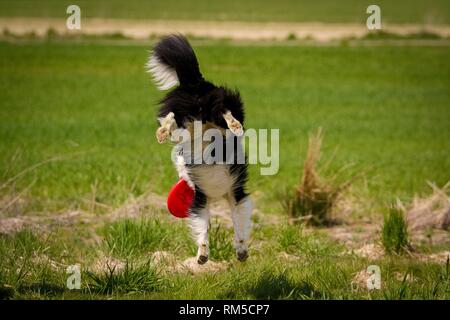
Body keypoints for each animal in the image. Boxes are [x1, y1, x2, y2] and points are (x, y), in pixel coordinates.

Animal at [149, 35, 251, 264]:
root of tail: (194, 82)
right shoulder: (202, 200)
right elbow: (204, 227)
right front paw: (203, 255)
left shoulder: (233, 193)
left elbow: (237, 224)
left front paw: (240, 251)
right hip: (191, 111)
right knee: (181, 116)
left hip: (207, 106)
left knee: (221, 111)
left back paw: (233, 126)